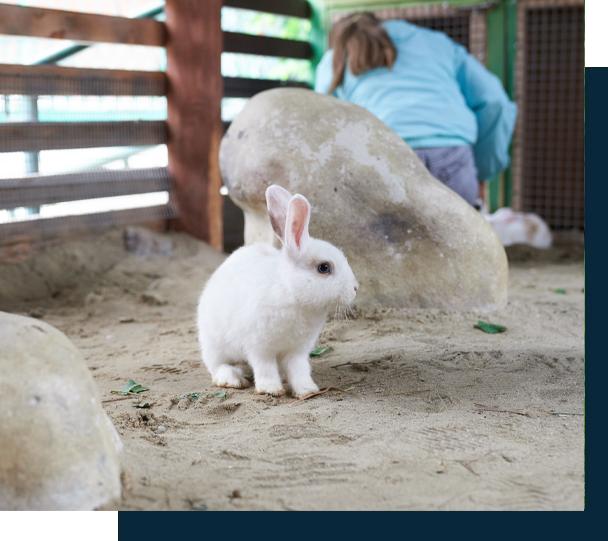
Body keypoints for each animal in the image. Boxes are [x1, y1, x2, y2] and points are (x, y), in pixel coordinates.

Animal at [196, 185, 356, 396]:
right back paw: (233, 379)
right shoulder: (259, 347)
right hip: (213, 345)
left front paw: (307, 390)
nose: (355, 288)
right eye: (324, 267)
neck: (292, 293)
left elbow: (299, 370)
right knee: (217, 366)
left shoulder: (297, 351)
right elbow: (265, 368)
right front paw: (271, 390)